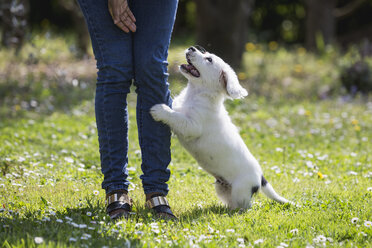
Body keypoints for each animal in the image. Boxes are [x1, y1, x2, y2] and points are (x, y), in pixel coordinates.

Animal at [150, 46, 290, 209]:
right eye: (205, 53)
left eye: (209, 59)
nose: (192, 48)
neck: (195, 94)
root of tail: (261, 178)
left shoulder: (192, 126)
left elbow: (175, 116)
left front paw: (160, 110)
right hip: (222, 187)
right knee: (230, 202)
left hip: (240, 191)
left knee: (246, 206)